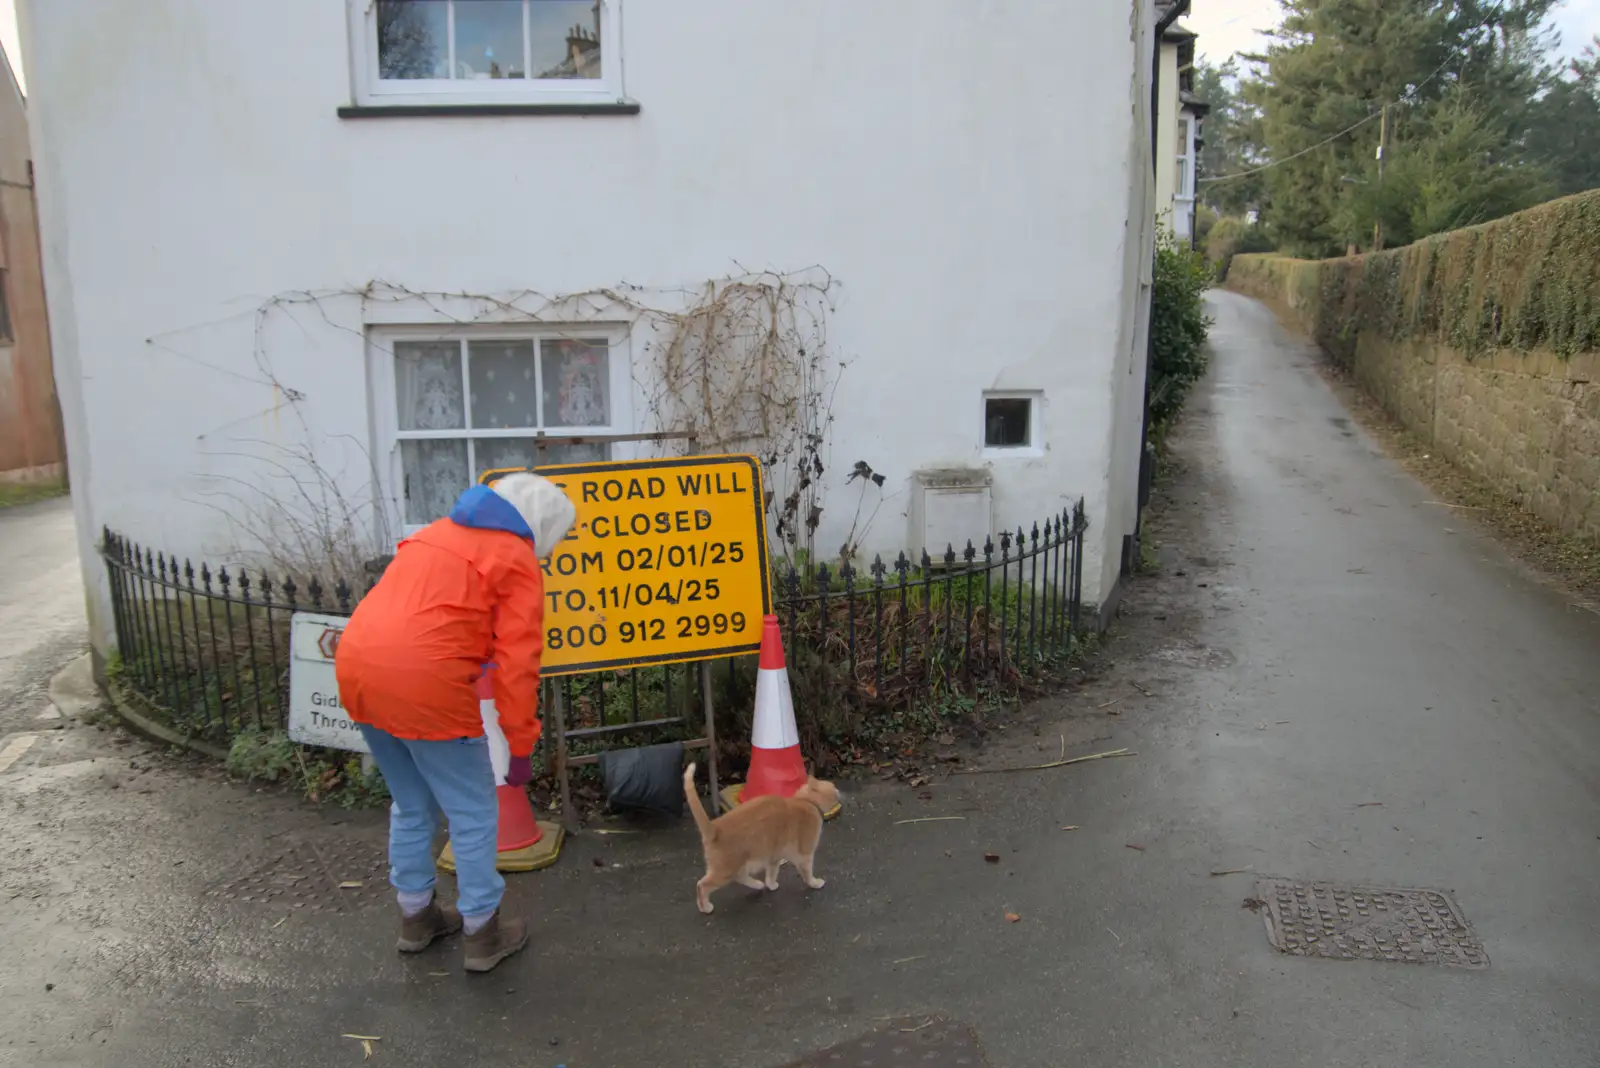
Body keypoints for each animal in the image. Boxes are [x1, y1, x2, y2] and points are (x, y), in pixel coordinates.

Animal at [681, 757, 844, 920]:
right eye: (833, 786)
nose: (839, 790)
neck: (806, 801)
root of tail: (714, 827)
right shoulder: (805, 854)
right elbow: (807, 873)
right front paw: (815, 883)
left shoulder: (774, 856)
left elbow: (771, 874)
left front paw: (771, 885)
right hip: (725, 871)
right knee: (702, 885)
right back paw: (706, 907)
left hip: (742, 864)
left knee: (740, 877)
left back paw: (758, 885)